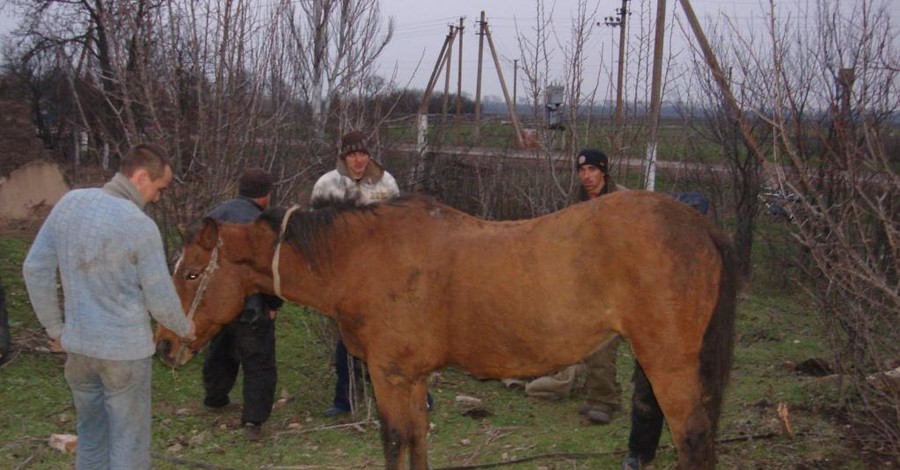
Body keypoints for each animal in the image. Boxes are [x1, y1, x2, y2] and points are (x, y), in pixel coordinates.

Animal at [155, 191, 740, 470]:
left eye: (191, 273)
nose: (164, 346)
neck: (361, 258)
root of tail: (700, 224)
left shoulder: (389, 376)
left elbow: (394, 440)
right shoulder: (412, 378)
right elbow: (417, 440)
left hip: (666, 363)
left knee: (692, 440)